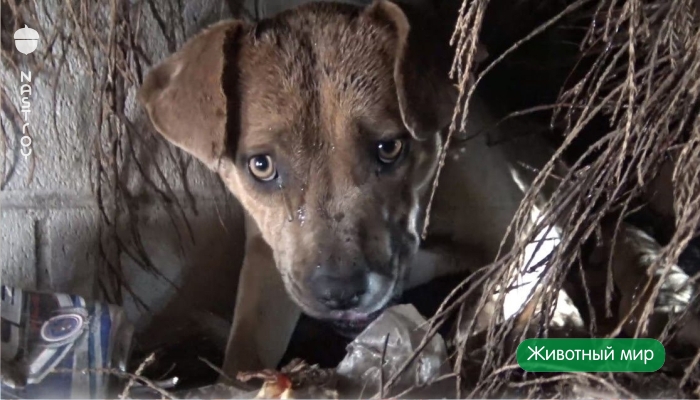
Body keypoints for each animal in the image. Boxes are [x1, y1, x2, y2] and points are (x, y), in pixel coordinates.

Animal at [138, 0, 700, 380]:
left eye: (390, 148)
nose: (339, 293)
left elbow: (507, 284)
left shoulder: (532, 226)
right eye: (261, 165)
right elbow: (244, 350)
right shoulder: (271, 264)